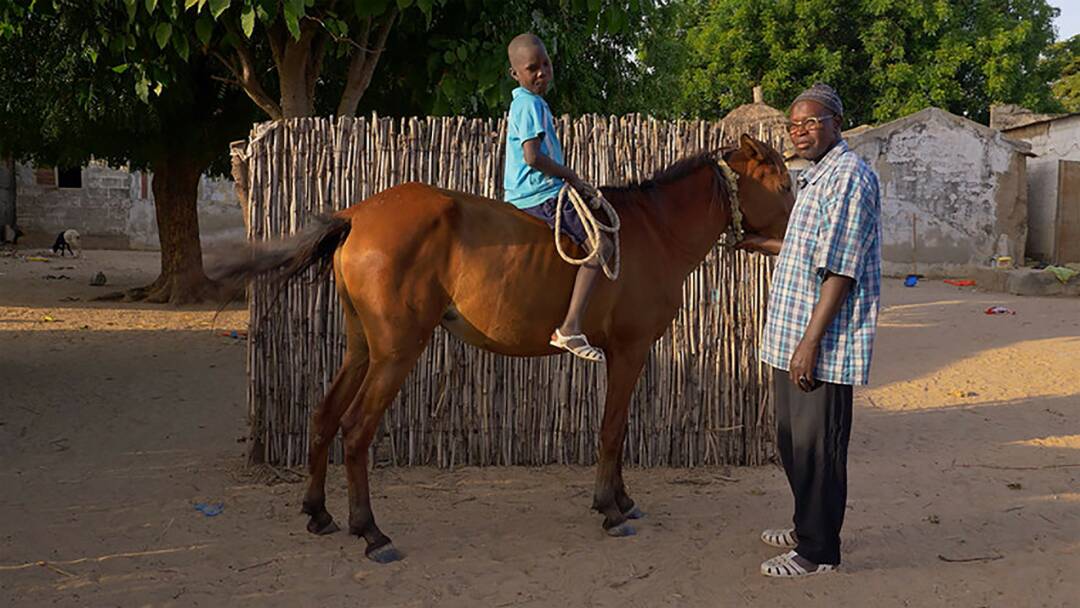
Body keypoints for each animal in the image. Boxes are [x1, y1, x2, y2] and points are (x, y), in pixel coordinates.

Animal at [219, 133, 794, 561]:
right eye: (786, 182)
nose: (796, 229)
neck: (655, 231)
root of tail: (357, 215)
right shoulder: (629, 351)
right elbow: (611, 430)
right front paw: (609, 508)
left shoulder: (627, 355)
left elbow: (620, 428)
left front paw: (623, 500)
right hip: (397, 352)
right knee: (357, 430)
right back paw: (372, 532)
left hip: (363, 348)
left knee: (323, 415)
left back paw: (319, 512)